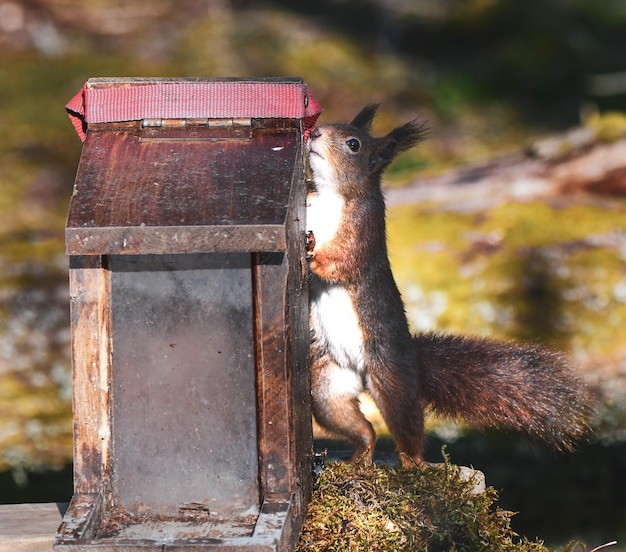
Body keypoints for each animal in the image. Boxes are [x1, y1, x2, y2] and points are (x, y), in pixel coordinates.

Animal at [306, 104, 588, 466]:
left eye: (353, 144)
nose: (315, 133)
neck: (332, 195)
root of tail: (412, 358)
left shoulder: (362, 229)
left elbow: (343, 260)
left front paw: (313, 255)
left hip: (392, 380)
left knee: (407, 424)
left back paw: (413, 465)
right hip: (328, 384)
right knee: (359, 425)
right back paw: (359, 458)